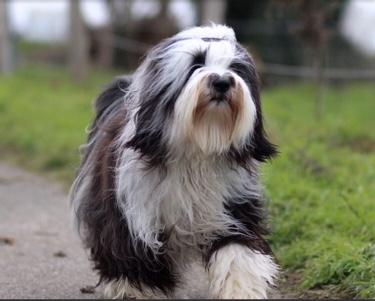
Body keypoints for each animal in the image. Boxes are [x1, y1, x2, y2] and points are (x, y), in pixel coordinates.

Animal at [71, 24, 280, 298]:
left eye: (236, 69)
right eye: (196, 64)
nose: (222, 81)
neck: (197, 150)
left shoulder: (234, 208)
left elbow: (238, 252)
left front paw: (241, 289)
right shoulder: (133, 215)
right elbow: (134, 254)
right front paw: (137, 290)